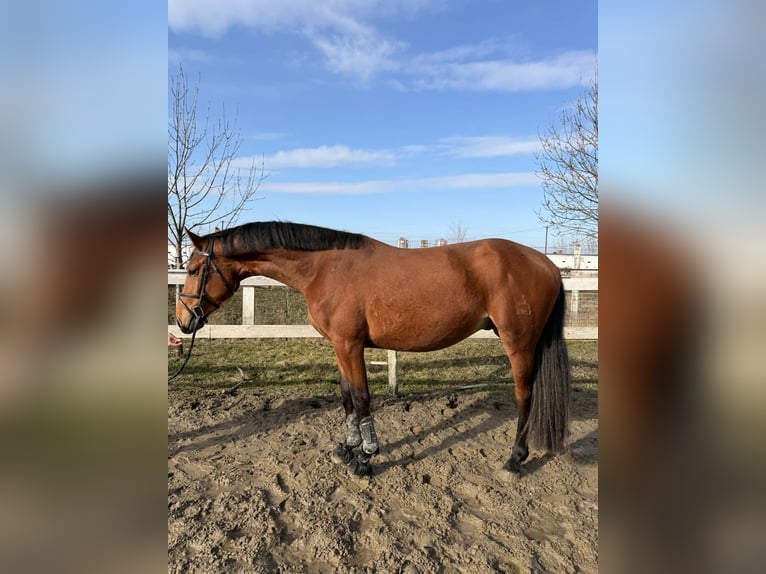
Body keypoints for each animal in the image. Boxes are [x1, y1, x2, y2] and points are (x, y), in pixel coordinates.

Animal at [175, 221, 570, 476]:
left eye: (193, 269)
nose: (182, 320)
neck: (325, 268)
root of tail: (548, 264)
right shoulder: (339, 346)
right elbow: (347, 396)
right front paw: (346, 447)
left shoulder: (350, 345)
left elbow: (362, 397)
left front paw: (365, 457)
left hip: (518, 343)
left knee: (525, 396)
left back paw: (515, 459)